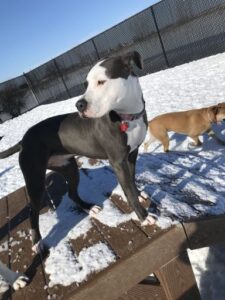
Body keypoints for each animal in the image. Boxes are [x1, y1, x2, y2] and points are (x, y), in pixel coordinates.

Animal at [0, 51, 155, 253]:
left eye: (101, 81)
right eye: (86, 84)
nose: (79, 105)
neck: (127, 116)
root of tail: (24, 139)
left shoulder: (132, 155)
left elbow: (132, 181)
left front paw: (140, 194)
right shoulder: (118, 162)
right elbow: (128, 191)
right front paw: (144, 216)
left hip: (70, 168)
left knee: (72, 194)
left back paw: (89, 208)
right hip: (36, 181)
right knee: (32, 212)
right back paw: (37, 241)